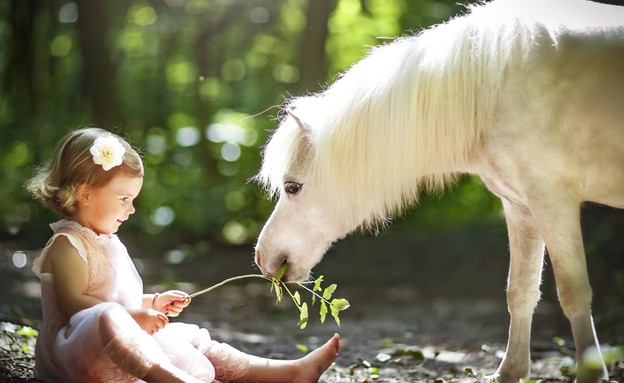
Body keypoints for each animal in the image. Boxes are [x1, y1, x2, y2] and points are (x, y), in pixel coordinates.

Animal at [254, 0, 624, 382]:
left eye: (292, 187)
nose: (263, 258)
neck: (494, 89)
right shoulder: (523, 207)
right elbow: (520, 292)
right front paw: (510, 371)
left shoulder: (554, 202)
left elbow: (574, 292)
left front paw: (592, 373)